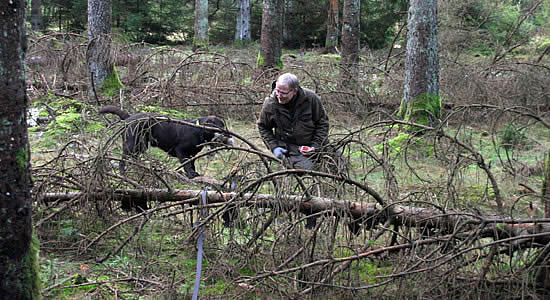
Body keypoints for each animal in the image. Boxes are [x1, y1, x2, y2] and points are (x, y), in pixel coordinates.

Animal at [100, 106, 234, 178]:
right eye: (220, 126)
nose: (230, 135)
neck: (197, 130)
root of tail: (128, 118)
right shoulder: (181, 150)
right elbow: (186, 164)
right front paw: (191, 174)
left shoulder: (192, 154)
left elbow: (192, 164)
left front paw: (194, 173)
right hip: (131, 145)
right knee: (122, 160)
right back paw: (123, 174)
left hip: (141, 145)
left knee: (133, 158)